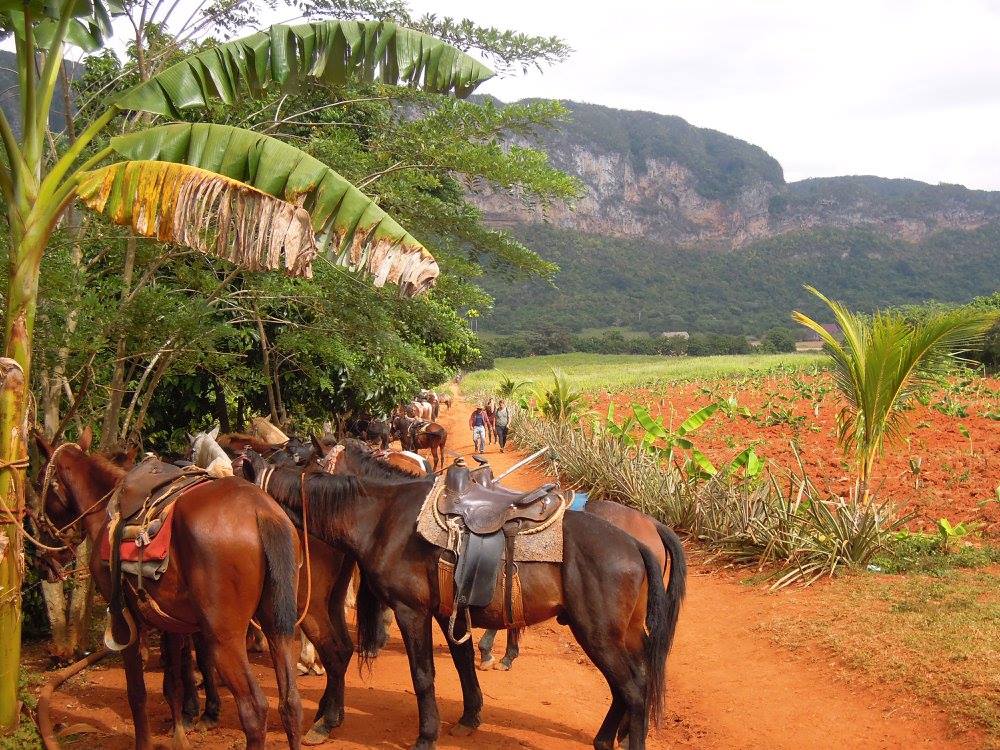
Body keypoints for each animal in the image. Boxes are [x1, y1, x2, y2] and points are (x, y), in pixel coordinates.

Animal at [34, 428, 304, 750]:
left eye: (37, 483)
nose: (43, 558)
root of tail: (260, 512)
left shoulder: (124, 620)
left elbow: (137, 693)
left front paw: (147, 741)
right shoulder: (171, 621)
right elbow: (174, 682)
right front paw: (180, 733)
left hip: (224, 637)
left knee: (254, 709)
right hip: (277, 623)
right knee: (290, 703)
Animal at [242, 444, 688, 750]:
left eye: (297, 453)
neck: (384, 516)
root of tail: (638, 540)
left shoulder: (411, 611)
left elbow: (423, 675)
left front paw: (426, 735)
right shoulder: (447, 611)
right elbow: (461, 662)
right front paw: (469, 717)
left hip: (599, 634)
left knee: (632, 688)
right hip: (622, 634)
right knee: (633, 682)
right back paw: (604, 738)